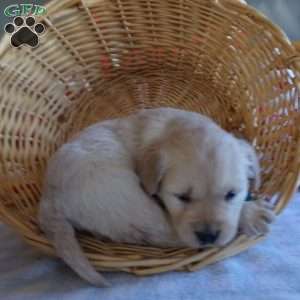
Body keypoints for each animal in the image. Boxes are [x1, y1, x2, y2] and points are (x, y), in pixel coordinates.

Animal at [38, 107, 276, 286]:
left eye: (231, 194)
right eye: (181, 197)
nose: (208, 236)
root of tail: (49, 196)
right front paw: (252, 213)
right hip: (126, 198)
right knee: (166, 235)